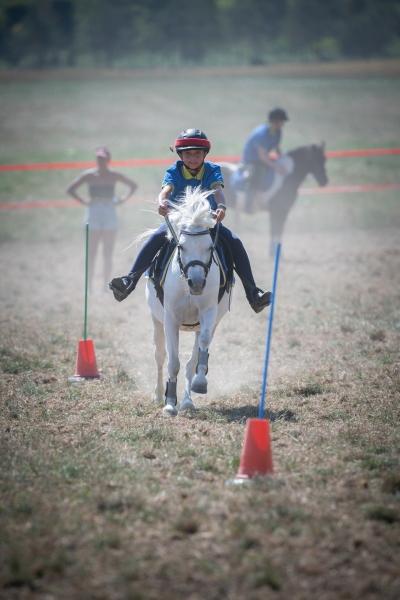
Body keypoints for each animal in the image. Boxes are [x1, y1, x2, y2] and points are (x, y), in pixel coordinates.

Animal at [145, 188, 231, 418]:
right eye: (181, 246)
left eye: (210, 247)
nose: (197, 282)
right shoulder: (170, 319)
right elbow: (172, 362)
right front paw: (169, 404)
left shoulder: (208, 314)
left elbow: (197, 356)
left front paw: (198, 385)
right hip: (156, 321)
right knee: (159, 356)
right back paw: (159, 395)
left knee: (193, 360)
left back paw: (187, 401)